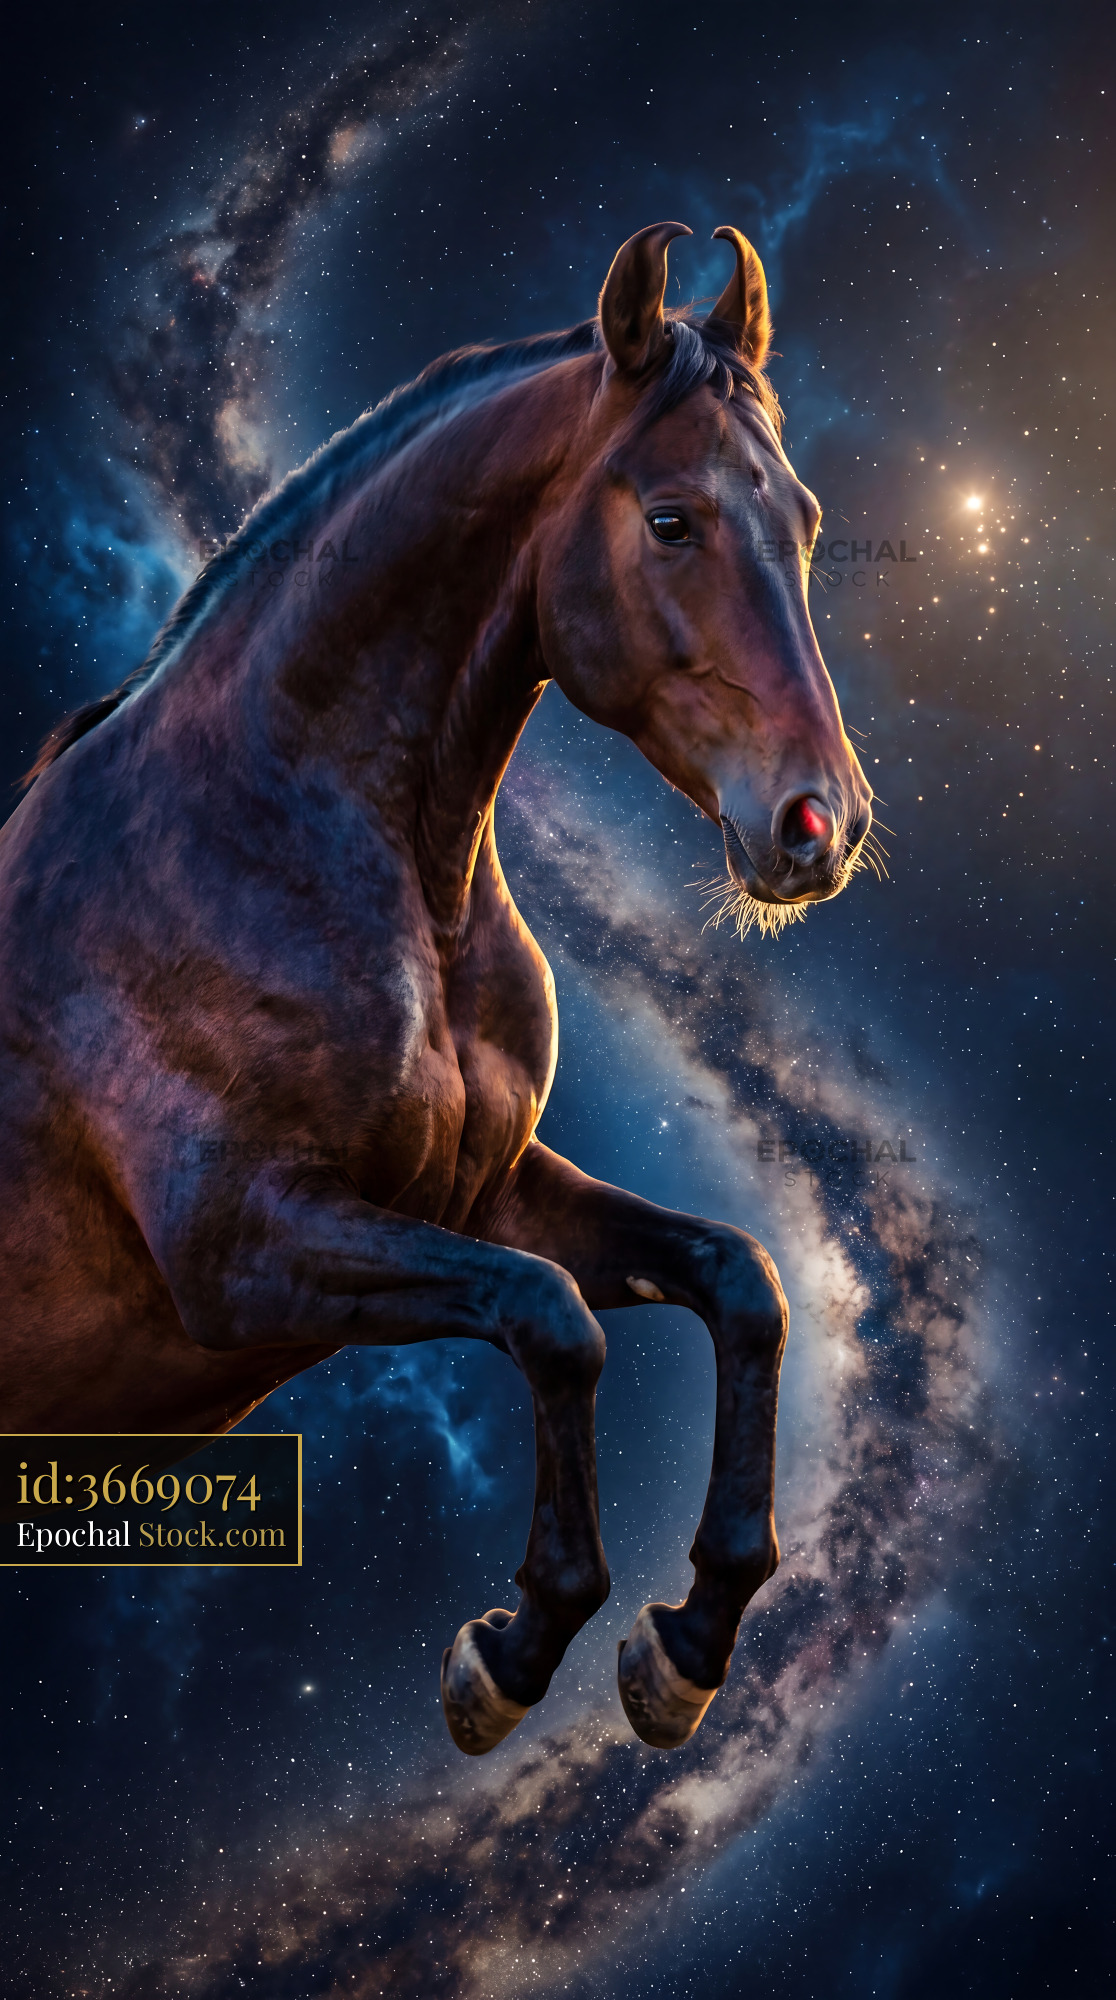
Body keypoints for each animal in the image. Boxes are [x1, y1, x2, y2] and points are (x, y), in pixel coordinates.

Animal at [1, 223, 871, 1754]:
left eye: (808, 521)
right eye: (671, 522)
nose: (820, 826)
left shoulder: (482, 1190)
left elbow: (740, 1277)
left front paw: (688, 1641)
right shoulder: (245, 1253)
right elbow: (556, 1324)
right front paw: (513, 1651)